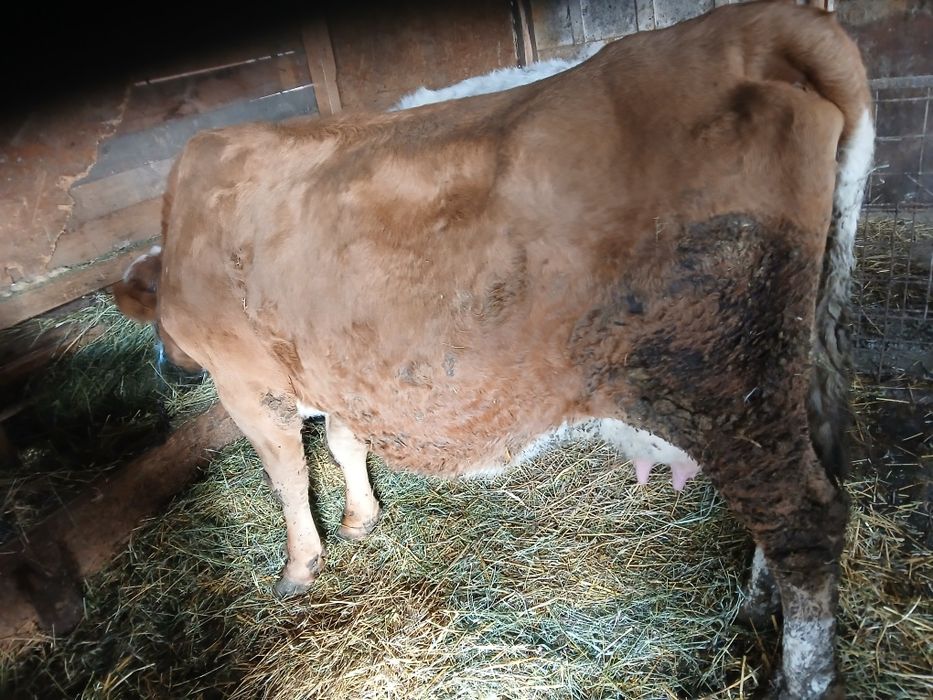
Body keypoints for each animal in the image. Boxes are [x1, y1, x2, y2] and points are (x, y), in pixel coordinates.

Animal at [112, 2, 874, 697]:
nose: (166, 369)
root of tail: (754, 26)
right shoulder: (341, 367)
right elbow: (344, 442)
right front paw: (362, 517)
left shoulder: (247, 381)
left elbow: (289, 476)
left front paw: (300, 565)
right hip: (801, 355)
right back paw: (755, 607)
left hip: (722, 379)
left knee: (803, 520)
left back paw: (795, 675)